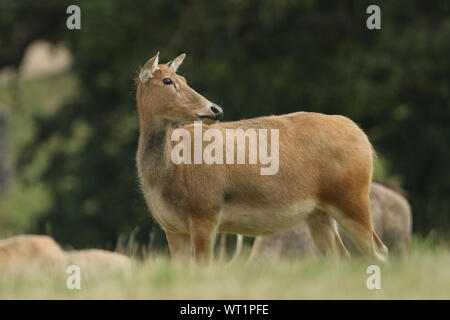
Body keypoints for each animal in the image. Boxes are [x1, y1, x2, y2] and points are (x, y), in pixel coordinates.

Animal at [135, 52, 388, 264]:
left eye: (184, 78)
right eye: (168, 81)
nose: (215, 109)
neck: (172, 173)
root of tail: (363, 138)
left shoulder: (205, 211)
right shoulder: (172, 228)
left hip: (351, 197)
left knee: (379, 250)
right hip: (320, 212)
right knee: (341, 256)